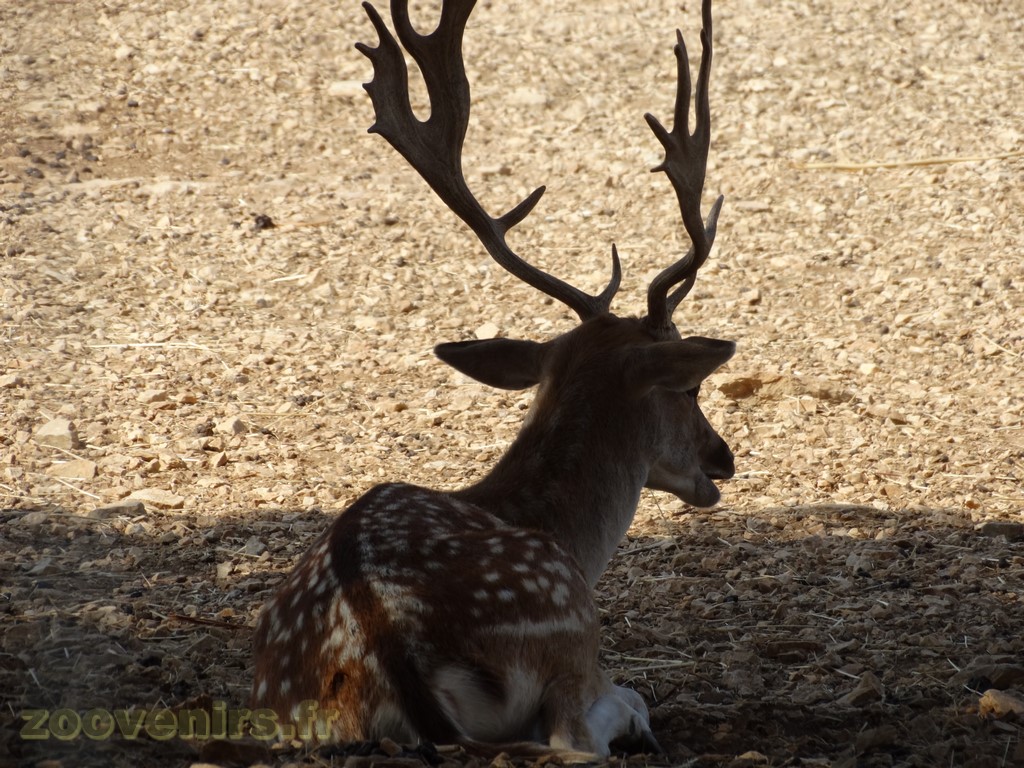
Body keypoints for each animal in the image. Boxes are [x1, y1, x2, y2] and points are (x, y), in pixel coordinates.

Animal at [251, 0, 734, 758]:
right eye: (689, 387)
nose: (724, 458)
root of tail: (383, 641)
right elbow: (625, 700)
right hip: (564, 628)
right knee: (576, 738)